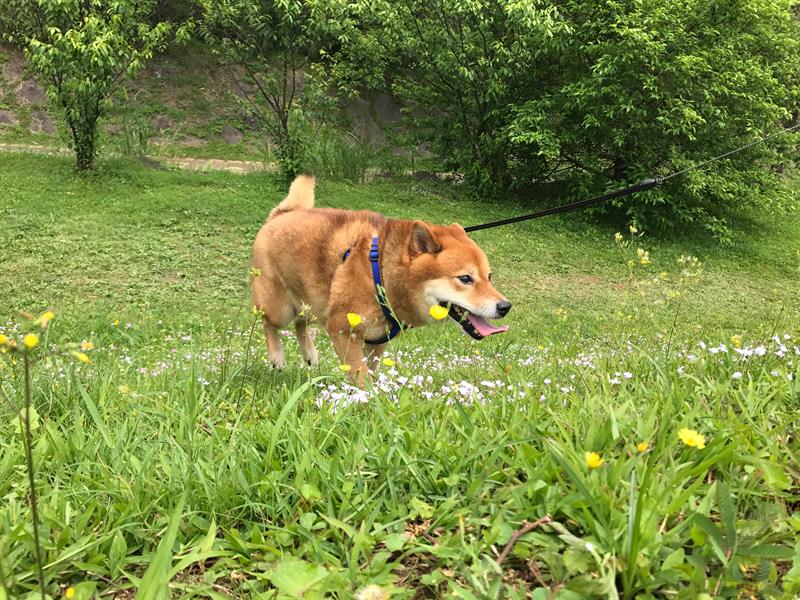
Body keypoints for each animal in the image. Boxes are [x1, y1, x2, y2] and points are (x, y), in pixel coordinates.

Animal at [252, 176, 512, 386]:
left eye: (489, 277)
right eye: (465, 278)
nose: (505, 306)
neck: (382, 277)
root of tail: (284, 212)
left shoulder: (377, 340)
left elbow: (370, 371)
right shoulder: (343, 330)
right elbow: (361, 377)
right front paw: (366, 403)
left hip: (314, 303)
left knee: (300, 323)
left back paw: (310, 355)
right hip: (281, 308)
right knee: (268, 323)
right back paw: (277, 357)